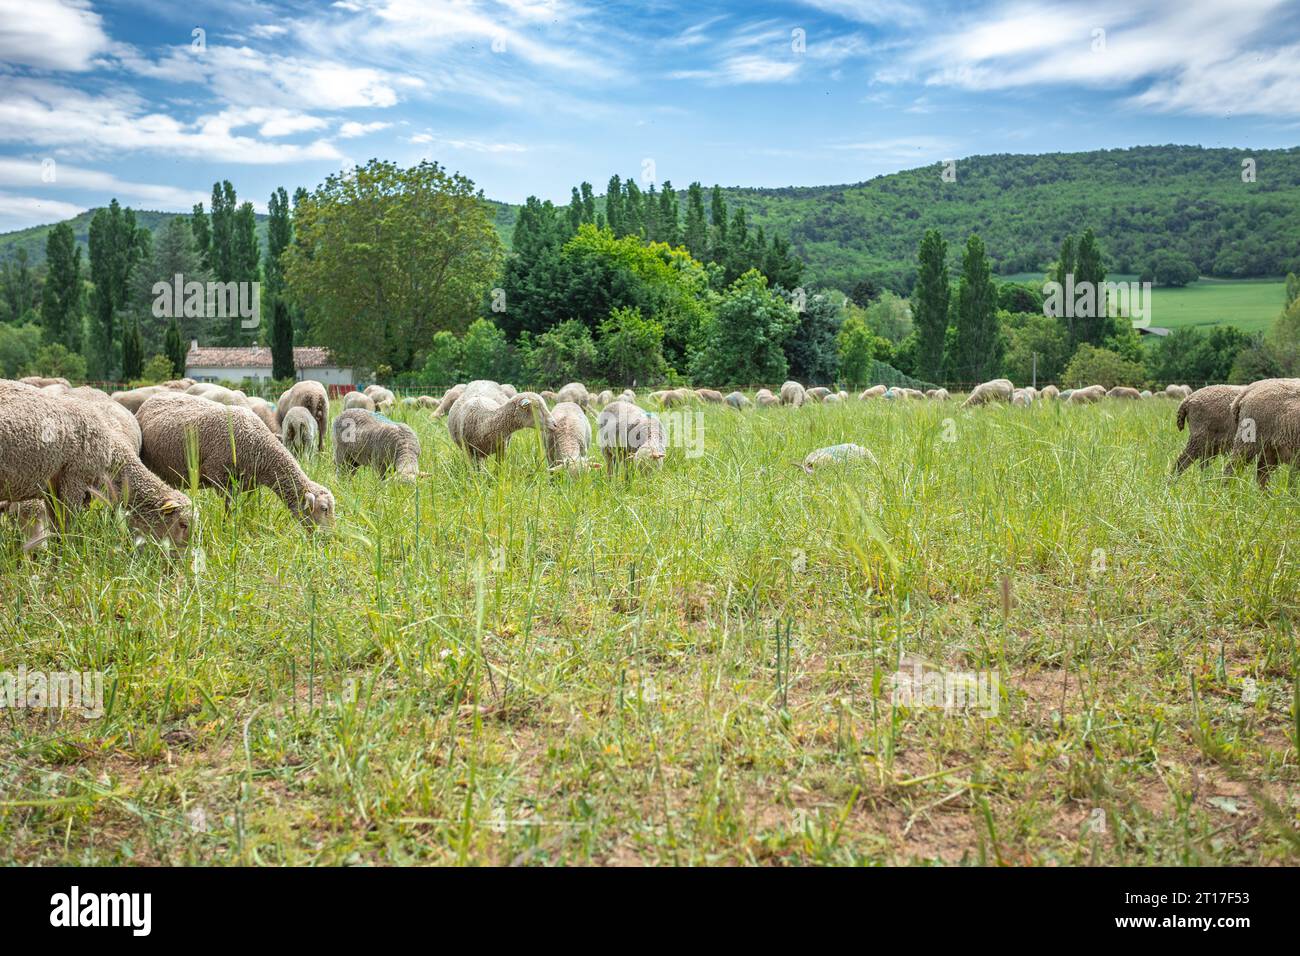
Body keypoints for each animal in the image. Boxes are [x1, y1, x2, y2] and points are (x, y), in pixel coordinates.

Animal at [0, 381, 192, 545]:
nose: (182, 560)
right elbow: (67, 527)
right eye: (183, 524)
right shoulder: (74, 481)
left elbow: (56, 526)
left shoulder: (53, 488)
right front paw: (67, 556)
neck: (112, 456)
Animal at [137, 392, 334, 526]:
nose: (328, 539)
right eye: (324, 509)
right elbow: (228, 507)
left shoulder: (249, 482)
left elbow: (246, 506)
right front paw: (227, 527)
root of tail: (152, 398)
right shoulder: (219, 476)